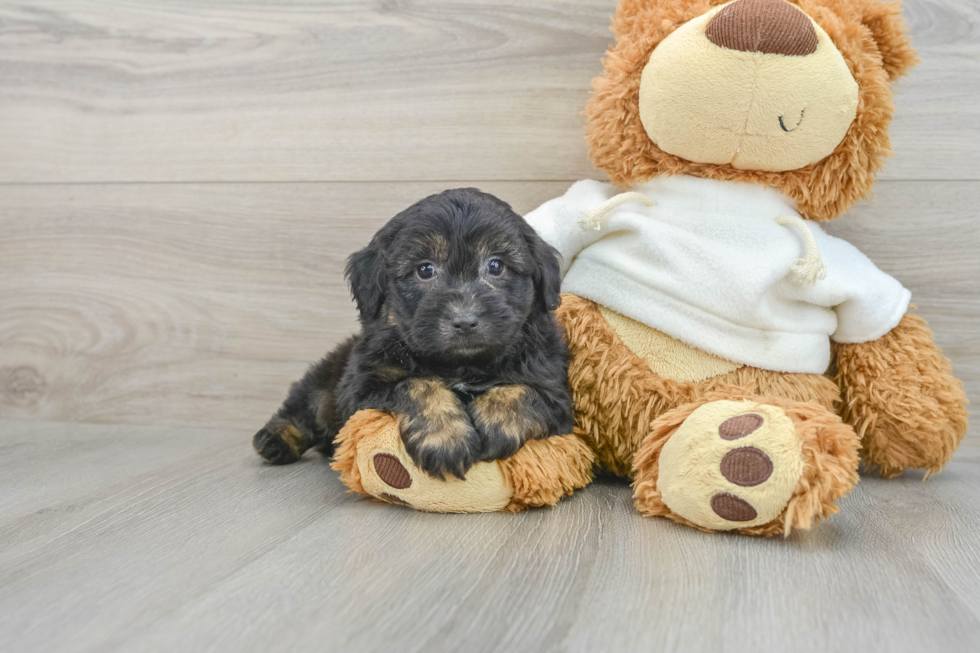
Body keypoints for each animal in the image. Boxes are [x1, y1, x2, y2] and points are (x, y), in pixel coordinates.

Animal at [253, 188, 576, 478]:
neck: (461, 364)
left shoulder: (554, 390)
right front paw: (445, 440)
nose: (464, 321)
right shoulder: (361, 389)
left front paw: (495, 426)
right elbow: (418, 385)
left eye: (496, 265)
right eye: (425, 270)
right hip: (325, 378)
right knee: (304, 405)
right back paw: (274, 439)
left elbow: (521, 392)